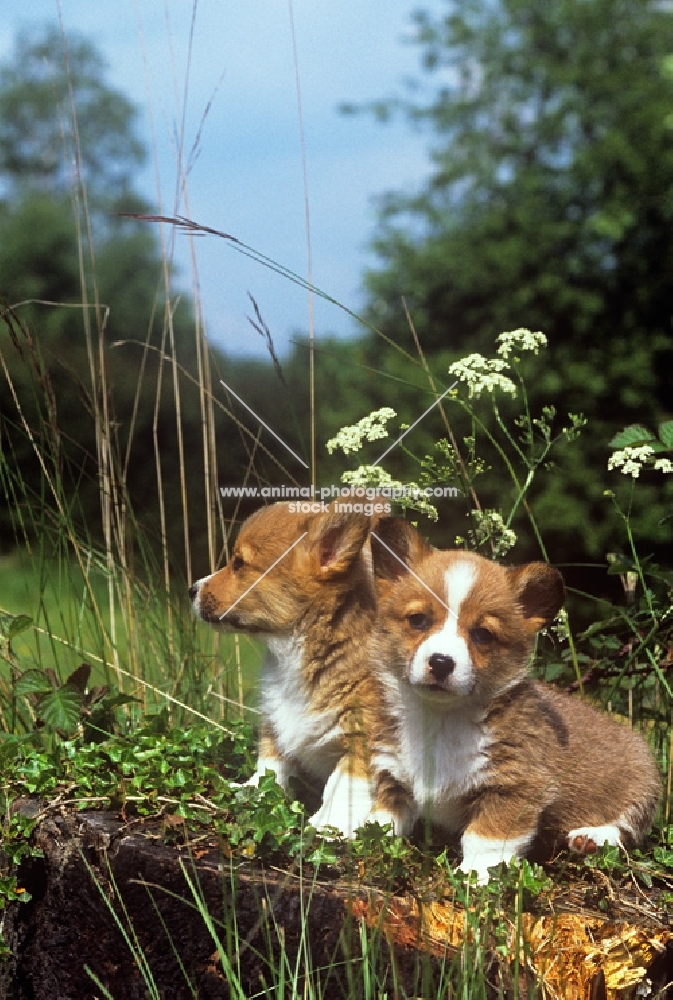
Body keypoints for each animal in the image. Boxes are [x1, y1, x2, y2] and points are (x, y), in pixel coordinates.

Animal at [188, 500, 388, 836]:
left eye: (239, 564)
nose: (191, 589)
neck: (294, 654)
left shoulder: (364, 735)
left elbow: (345, 782)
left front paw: (331, 825)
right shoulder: (275, 719)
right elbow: (269, 765)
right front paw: (249, 791)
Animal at [364, 520, 660, 888]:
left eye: (482, 634)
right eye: (418, 620)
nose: (441, 662)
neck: (441, 719)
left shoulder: (514, 787)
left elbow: (484, 837)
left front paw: (475, 873)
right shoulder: (393, 774)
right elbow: (382, 818)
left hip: (641, 783)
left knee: (627, 829)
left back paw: (591, 837)